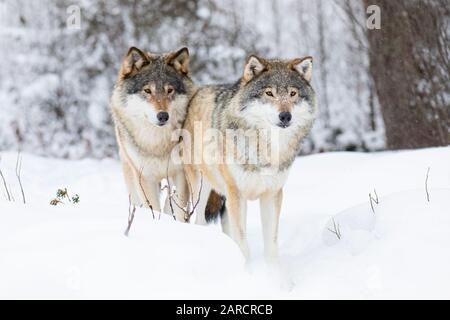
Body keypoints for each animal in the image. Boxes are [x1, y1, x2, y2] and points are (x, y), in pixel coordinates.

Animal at [110, 46, 195, 220]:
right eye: (147, 90)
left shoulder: (180, 174)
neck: (157, 144)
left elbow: (179, 209)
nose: (163, 116)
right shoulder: (145, 178)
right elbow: (153, 209)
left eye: (170, 90)